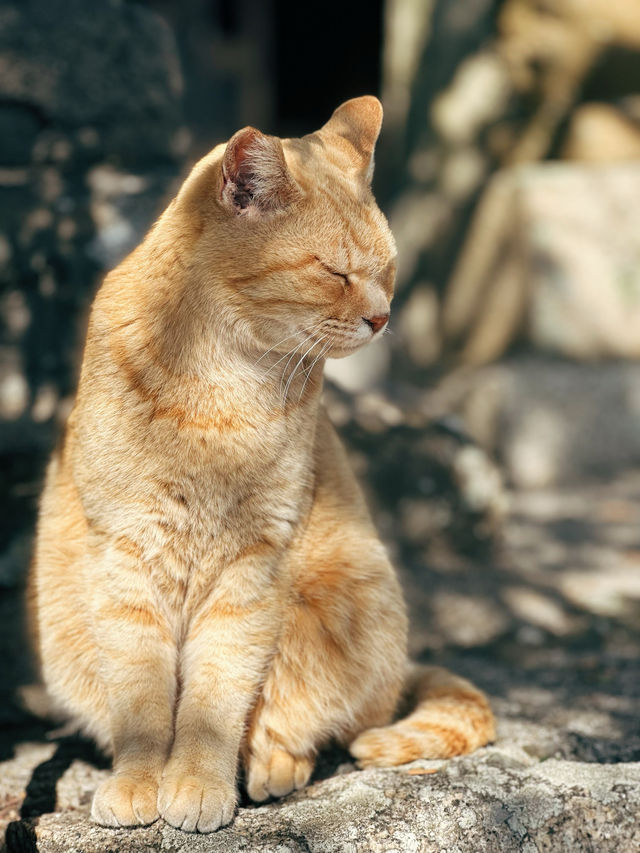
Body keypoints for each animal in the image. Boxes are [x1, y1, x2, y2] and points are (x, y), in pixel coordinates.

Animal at [27, 98, 492, 832]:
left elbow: (215, 699)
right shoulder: (128, 555)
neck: (218, 382)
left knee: (304, 719)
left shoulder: (251, 565)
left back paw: (272, 768)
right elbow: (141, 701)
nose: (382, 317)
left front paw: (197, 782)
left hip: (341, 608)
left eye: (387, 270)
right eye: (335, 271)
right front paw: (138, 782)